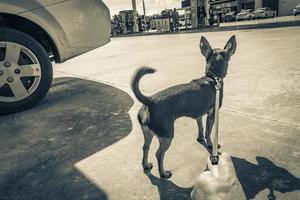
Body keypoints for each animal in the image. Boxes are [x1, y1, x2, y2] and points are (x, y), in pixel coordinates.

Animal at [131, 35, 237, 178]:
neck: (212, 77)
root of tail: (150, 100)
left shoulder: (199, 115)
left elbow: (201, 128)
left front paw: (200, 138)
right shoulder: (212, 114)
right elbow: (208, 132)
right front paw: (210, 144)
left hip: (148, 133)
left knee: (145, 148)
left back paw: (146, 165)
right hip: (167, 136)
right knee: (159, 154)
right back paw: (163, 173)